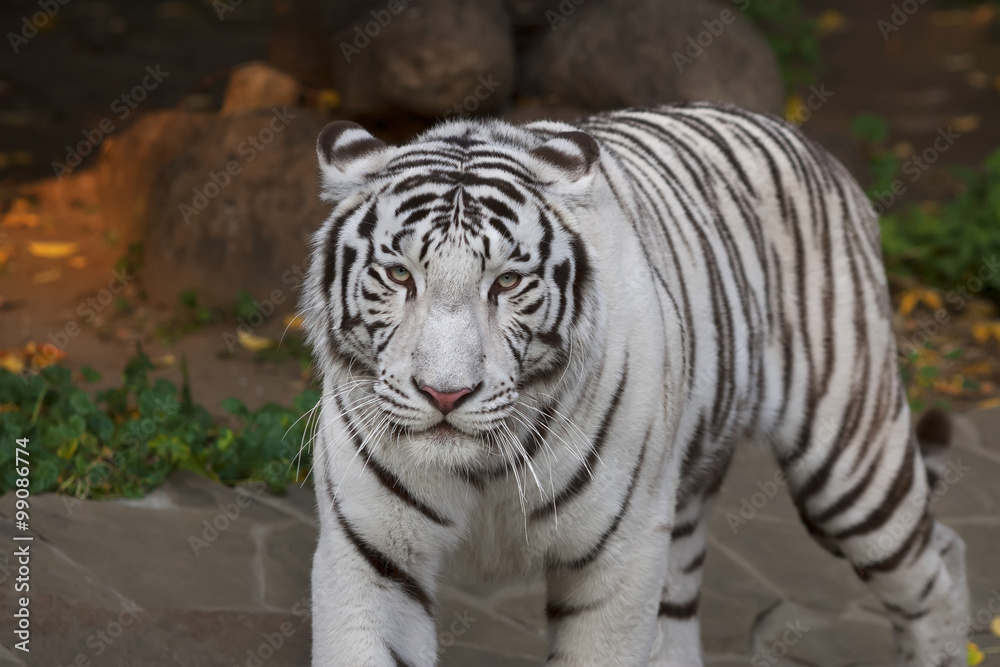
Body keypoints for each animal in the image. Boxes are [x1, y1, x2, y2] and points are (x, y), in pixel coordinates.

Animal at [300, 102, 970, 666]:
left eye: (507, 282)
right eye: (398, 275)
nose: (446, 394)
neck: (483, 469)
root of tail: (805, 139)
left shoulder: (618, 562)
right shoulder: (372, 557)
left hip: (852, 469)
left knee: (939, 565)